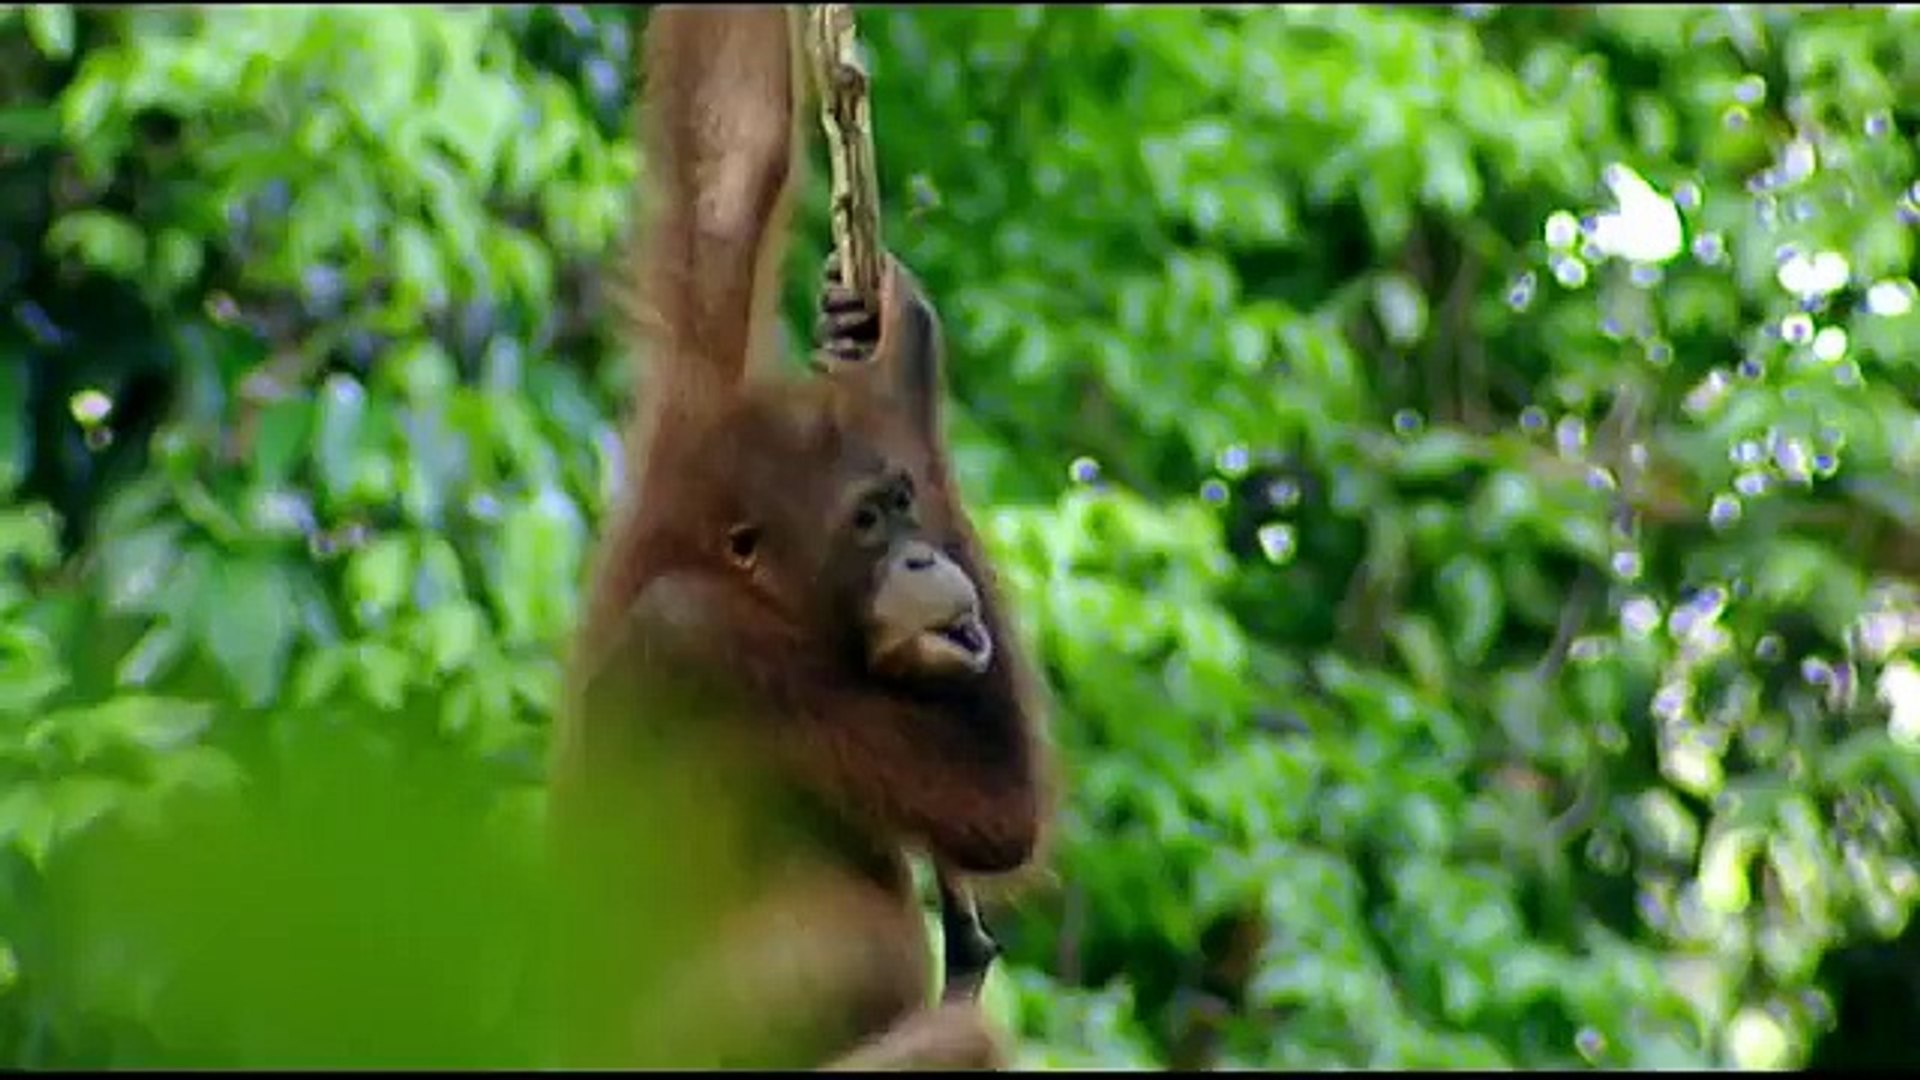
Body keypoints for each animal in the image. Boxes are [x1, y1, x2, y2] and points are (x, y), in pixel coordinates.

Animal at [545, 5, 1051, 1070]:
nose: (921, 555)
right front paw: (899, 367)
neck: (735, 574)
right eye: (867, 521)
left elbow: (731, 165)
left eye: (904, 502)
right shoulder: (708, 643)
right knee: (956, 1034)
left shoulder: (687, 436)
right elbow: (996, 806)